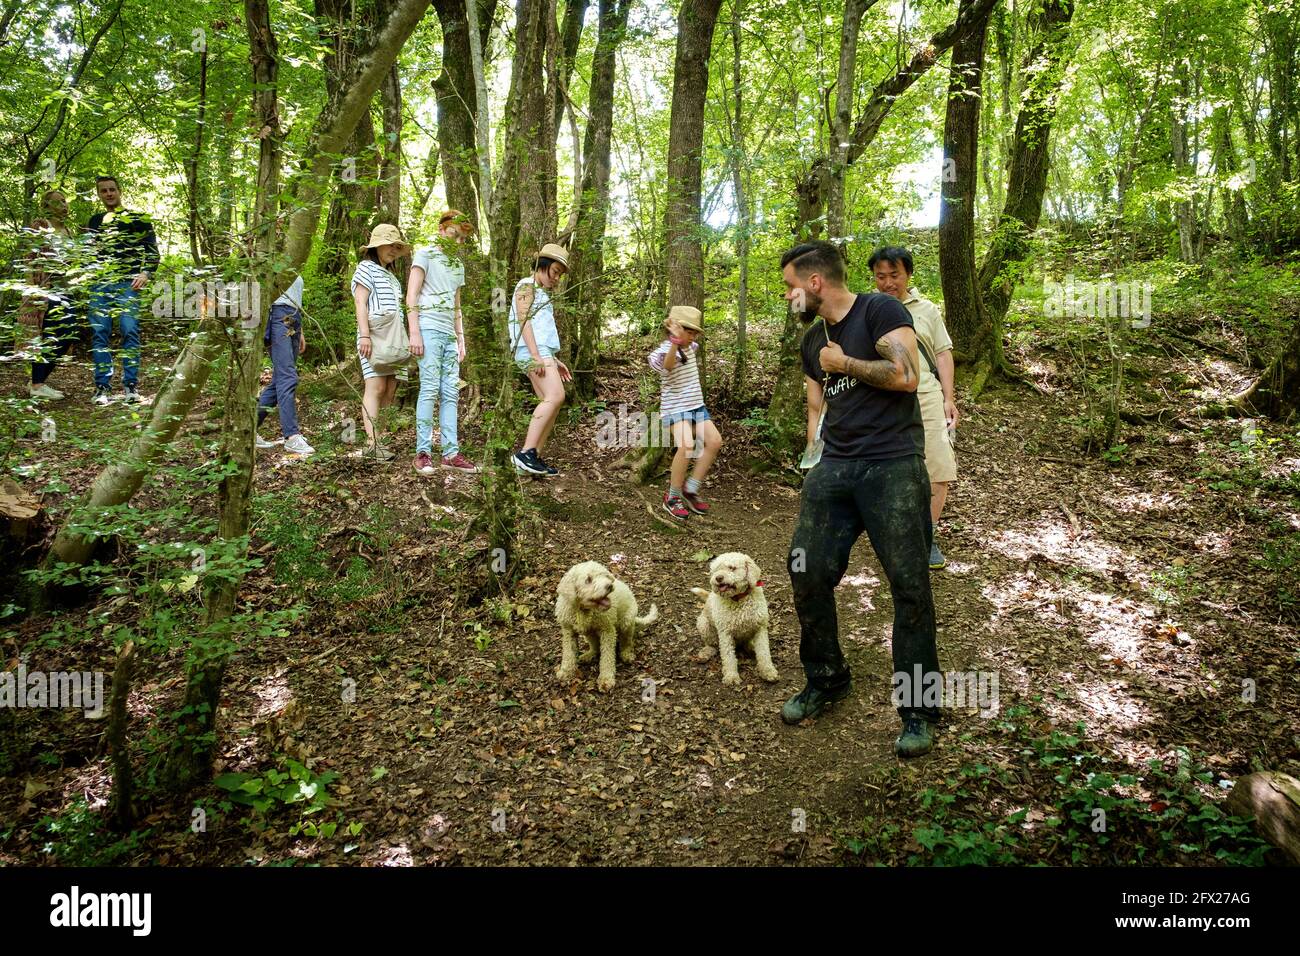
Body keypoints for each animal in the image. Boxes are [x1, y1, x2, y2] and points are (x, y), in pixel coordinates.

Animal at [556, 556, 660, 691]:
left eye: (604, 575)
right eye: (588, 580)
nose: (609, 586)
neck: (583, 610)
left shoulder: (608, 630)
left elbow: (607, 656)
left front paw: (606, 679)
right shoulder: (568, 631)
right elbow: (569, 653)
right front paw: (566, 672)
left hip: (626, 622)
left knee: (626, 641)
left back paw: (626, 654)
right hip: (590, 632)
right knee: (595, 645)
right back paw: (589, 654)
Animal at [696, 554, 774, 686]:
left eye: (732, 568)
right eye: (716, 570)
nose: (718, 578)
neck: (739, 599)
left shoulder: (760, 628)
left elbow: (764, 652)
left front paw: (768, 671)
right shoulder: (725, 633)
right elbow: (728, 657)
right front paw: (731, 676)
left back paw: (751, 647)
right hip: (704, 624)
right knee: (711, 643)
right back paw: (707, 651)